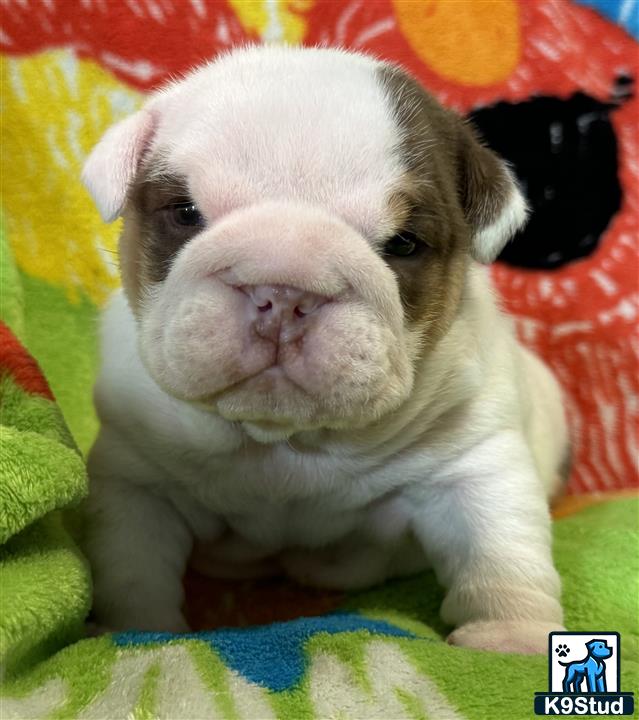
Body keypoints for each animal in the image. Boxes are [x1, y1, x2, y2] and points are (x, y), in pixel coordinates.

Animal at [81, 45, 568, 652]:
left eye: (403, 244)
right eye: (185, 213)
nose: (284, 293)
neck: (285, 439)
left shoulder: (469, 461)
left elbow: (499, 550)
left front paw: (511, 636)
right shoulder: (137, 480)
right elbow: (132, 565)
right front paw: (136, 635)